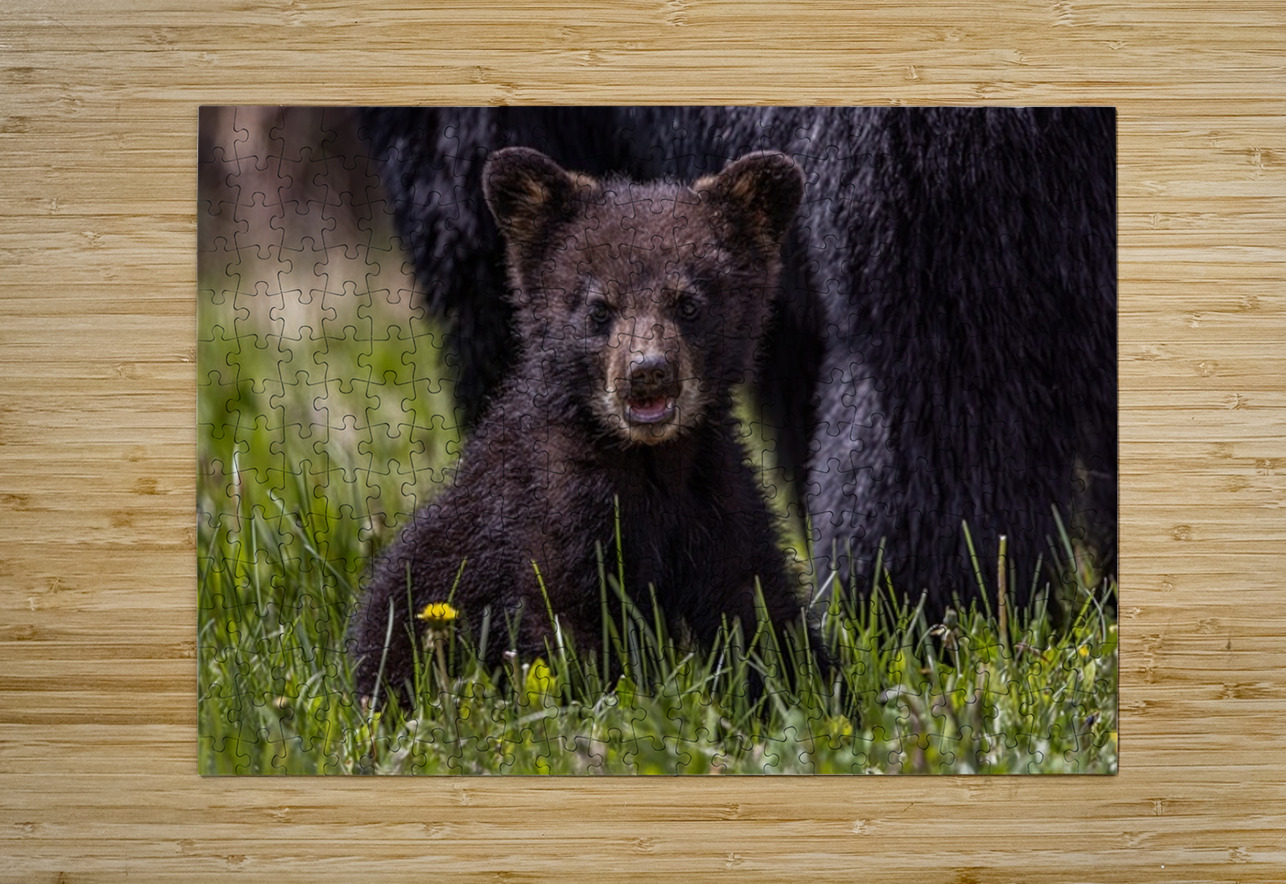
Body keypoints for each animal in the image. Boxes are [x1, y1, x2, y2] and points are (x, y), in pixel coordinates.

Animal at [349, 146, 819, 704]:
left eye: (689, 303)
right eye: (598, 308)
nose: (647, 371)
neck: (650, 460)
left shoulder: (718, 495)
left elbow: (758, 606)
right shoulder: (550, 514)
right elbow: (568, 625)